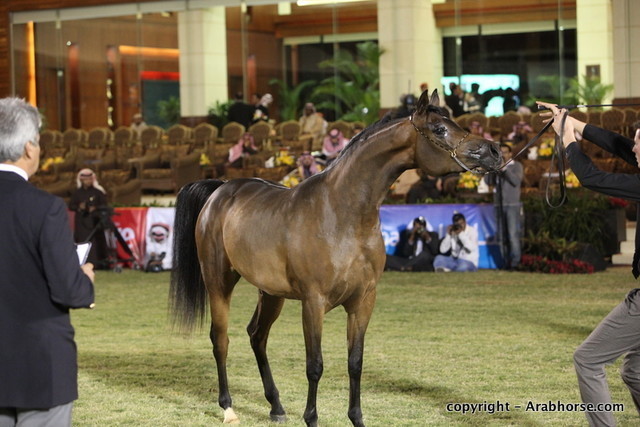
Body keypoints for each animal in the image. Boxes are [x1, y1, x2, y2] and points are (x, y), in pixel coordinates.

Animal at [169, 90, 502, 427]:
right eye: (439, 129)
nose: (493, 150)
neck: (342, 215)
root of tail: (220, 190)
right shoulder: (313, 302)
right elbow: (314, 365)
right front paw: (311, 418)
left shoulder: (363, 301)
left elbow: (355, 362)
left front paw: (357, 418)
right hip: (219, 282)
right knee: (220, 339)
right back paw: (228, 408)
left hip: (271, 293)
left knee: (257, 336)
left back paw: (276, 406)